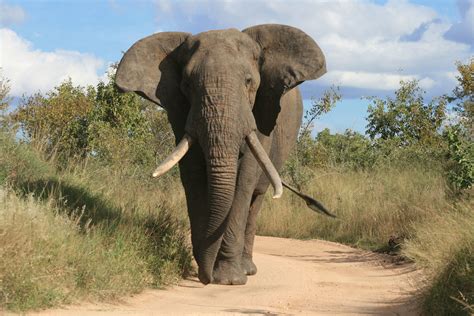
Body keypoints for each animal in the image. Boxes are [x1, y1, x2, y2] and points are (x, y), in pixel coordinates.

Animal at [115, 24, 330, 286]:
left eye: (248, 81)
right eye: (187, 85)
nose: (205, 277)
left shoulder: (260, 114)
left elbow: (242, 183)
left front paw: (228, 279)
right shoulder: (182, 114)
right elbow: (193, 177)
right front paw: (205, 269)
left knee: (256, 200)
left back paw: (247, 269)